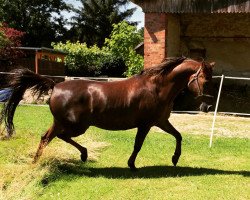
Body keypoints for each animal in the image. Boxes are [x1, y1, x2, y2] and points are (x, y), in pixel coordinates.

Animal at [0, 56, 215, 170]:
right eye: (205, 80)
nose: (208, 107)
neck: (156, 88)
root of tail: (55, 86)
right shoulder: (146, 124)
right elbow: (138, 145)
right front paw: (132, 165)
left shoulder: (161, 121)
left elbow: (178, 136)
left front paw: (175, 159)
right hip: (74, 125)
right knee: (53, 137)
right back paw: (77, 155)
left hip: (64, 123)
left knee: (46, 137)